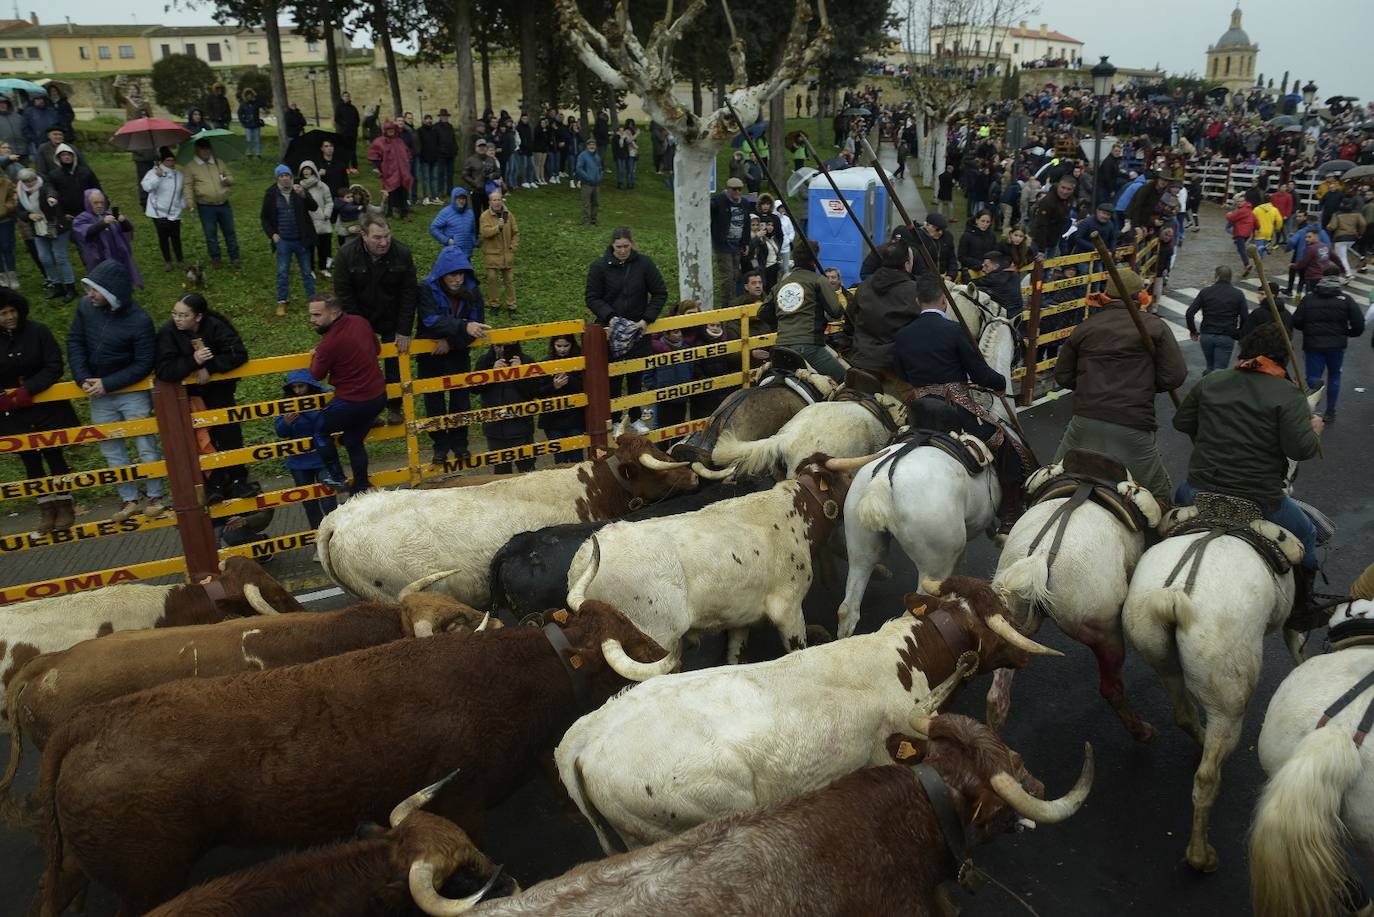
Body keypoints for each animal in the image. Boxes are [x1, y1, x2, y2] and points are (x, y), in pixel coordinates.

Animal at [33, 602, 676, 917]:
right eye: (632, 643)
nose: (667, 651)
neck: (514, 672)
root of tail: (91, 722)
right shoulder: (466, 804)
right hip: (149, 878)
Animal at [989, 470, 1159, 742]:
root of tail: (1039, 558)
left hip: (1012, 626)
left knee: (998, 696)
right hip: (1105, 633)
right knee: (1111, 687)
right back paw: (1142, 731)